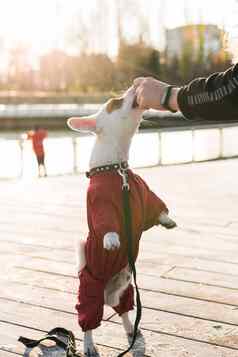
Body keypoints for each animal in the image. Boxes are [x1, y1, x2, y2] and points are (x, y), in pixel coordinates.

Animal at [68, 86, 176, 356]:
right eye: (115, 102)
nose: (133, 87)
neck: (116, 169)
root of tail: (108, 293)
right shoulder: (101, 205)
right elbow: (107, 226)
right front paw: (111, 240)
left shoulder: (145, 193)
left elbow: (157, 207)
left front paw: (167, 220)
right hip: (90, 291)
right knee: (89, 320)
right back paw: (89, 345)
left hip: (126, 287)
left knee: (124, 311)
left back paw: (131, 331)